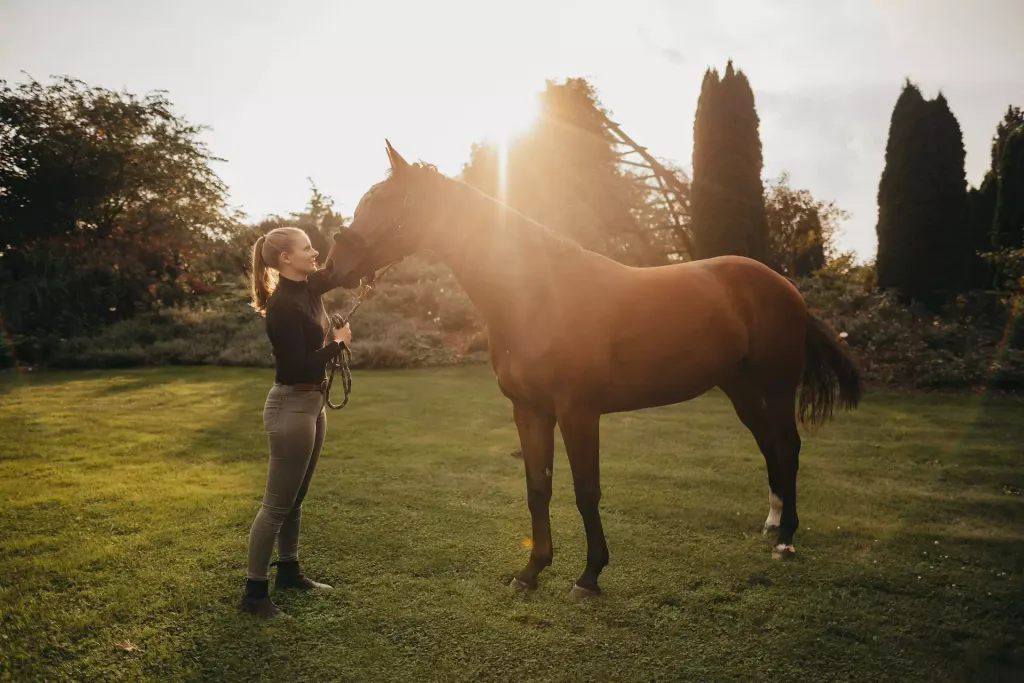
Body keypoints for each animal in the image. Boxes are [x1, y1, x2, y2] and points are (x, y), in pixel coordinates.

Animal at [320, 140, 862, 598]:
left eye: (387, 202)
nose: (331, 269)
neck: (537, 294)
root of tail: (785, 287)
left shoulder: (578, 411)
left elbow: (586, 491)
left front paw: (590, 575)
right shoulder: (530, 410)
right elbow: (538, 488)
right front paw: (531, 571)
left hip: (776, 386)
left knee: (787, 449)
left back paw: (786, 539)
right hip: (741, 389)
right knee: (770, 448)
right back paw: (772, 523)